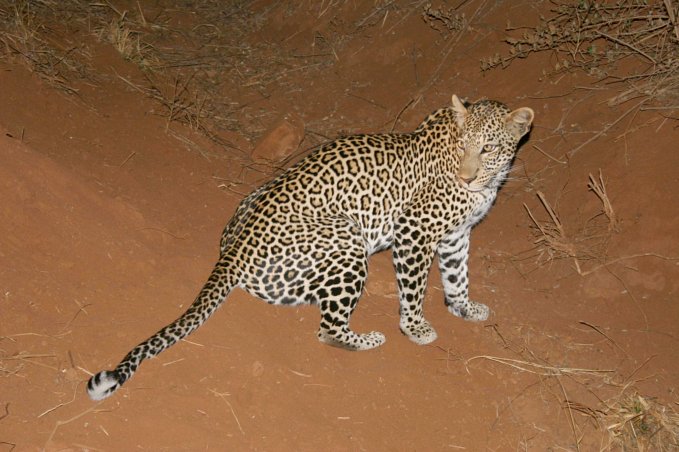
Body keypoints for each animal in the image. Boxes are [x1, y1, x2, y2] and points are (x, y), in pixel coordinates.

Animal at [86, 94, 532, 400]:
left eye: (488, 148)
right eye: (462, 145)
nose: (467, 177)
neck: (483, 183)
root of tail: (234, 249)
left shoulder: (457, 235)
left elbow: (458, 275)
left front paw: (464, 308)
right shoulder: (414, 233)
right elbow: (414, 287)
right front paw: (415, 327)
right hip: (349, 238)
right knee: (327, 329)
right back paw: (369, 338)